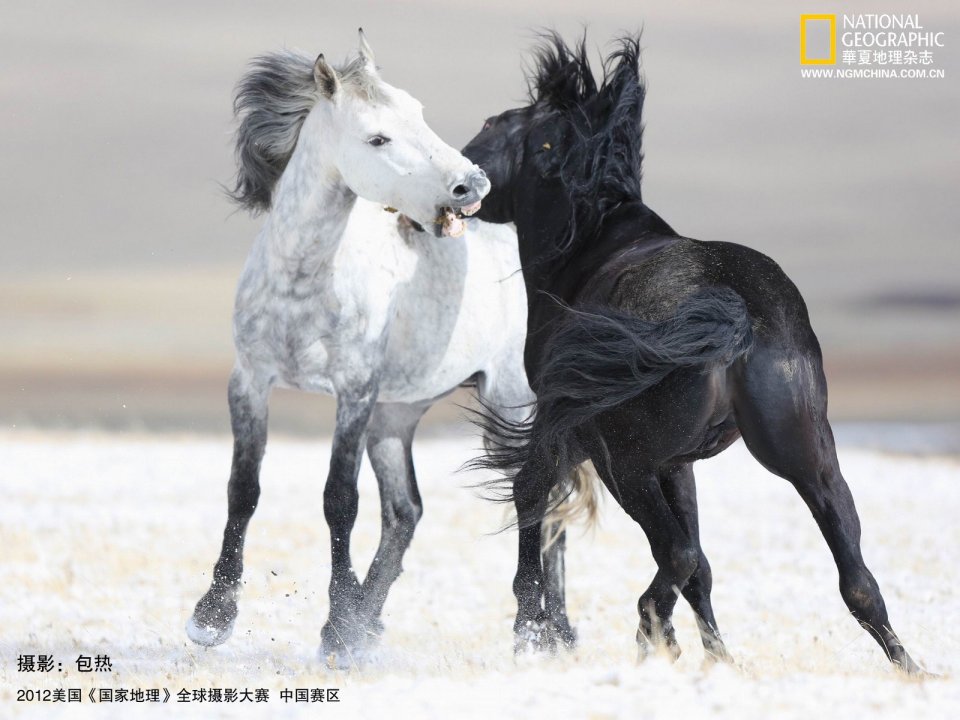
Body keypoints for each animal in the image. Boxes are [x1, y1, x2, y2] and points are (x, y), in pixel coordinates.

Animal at [186, 31, 577, 665]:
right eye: (377, 137)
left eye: (419, 113)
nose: (472, 185)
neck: (306, 280)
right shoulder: (250, 381)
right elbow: (243, 490)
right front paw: (213, 616)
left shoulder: (354, 393)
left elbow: (338, 500)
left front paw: (338, 620)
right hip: (397, 415)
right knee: (406, 513)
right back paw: (369, 625)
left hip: (511, 402)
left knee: (540, 500)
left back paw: (543, 632)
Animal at [462, 33, 923, 674]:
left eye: (492, 125)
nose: (459, 175)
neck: (593, 239)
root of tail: (738, 310)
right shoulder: (678, 463)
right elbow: (701, 567)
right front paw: (718, 659)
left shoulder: (588, 438)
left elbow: (537, 506)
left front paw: (536, 633)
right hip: (810, 459)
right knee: (855, 578)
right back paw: (909, 669)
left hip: (626, 463)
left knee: (674, 553)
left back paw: (650, 634)